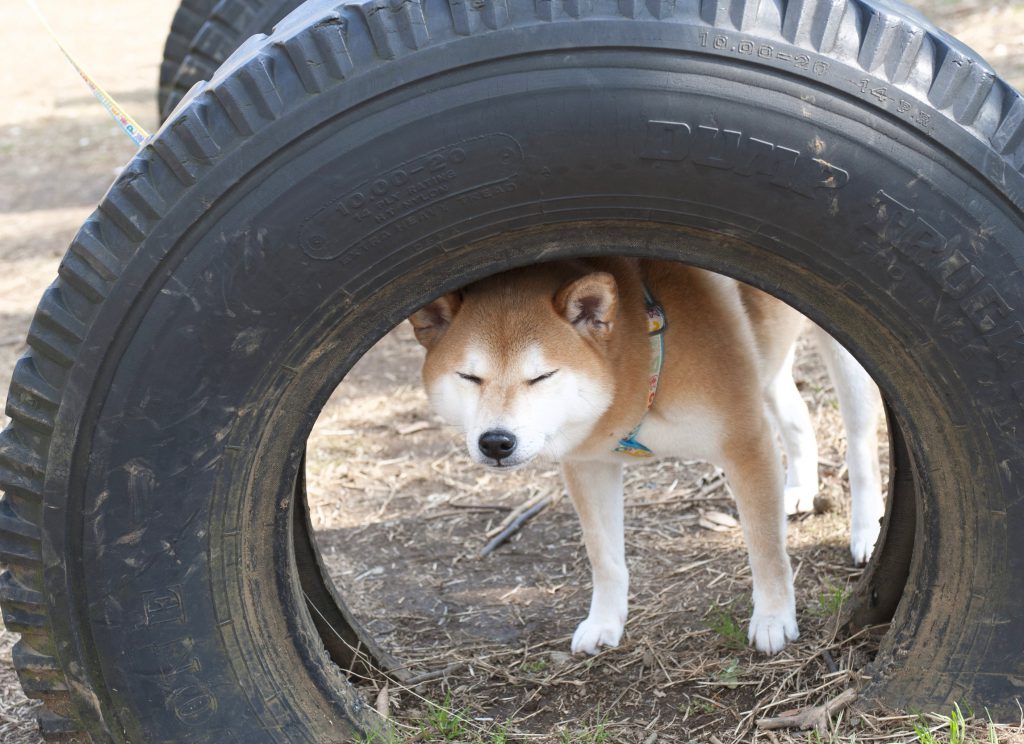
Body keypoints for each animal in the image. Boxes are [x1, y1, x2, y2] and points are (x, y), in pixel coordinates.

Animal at [407, 258, 880, 654]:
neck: (645, 359)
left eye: (542, 376)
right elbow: (604, 558)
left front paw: (773, 618)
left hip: (844, 366)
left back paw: (866, 530)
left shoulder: (746, 443)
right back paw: (799, 488)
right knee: (797, 415)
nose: (496, 442)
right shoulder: (589, 464)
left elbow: (766, 550)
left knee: (861, 445)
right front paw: (604, 622)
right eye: (469, 376)